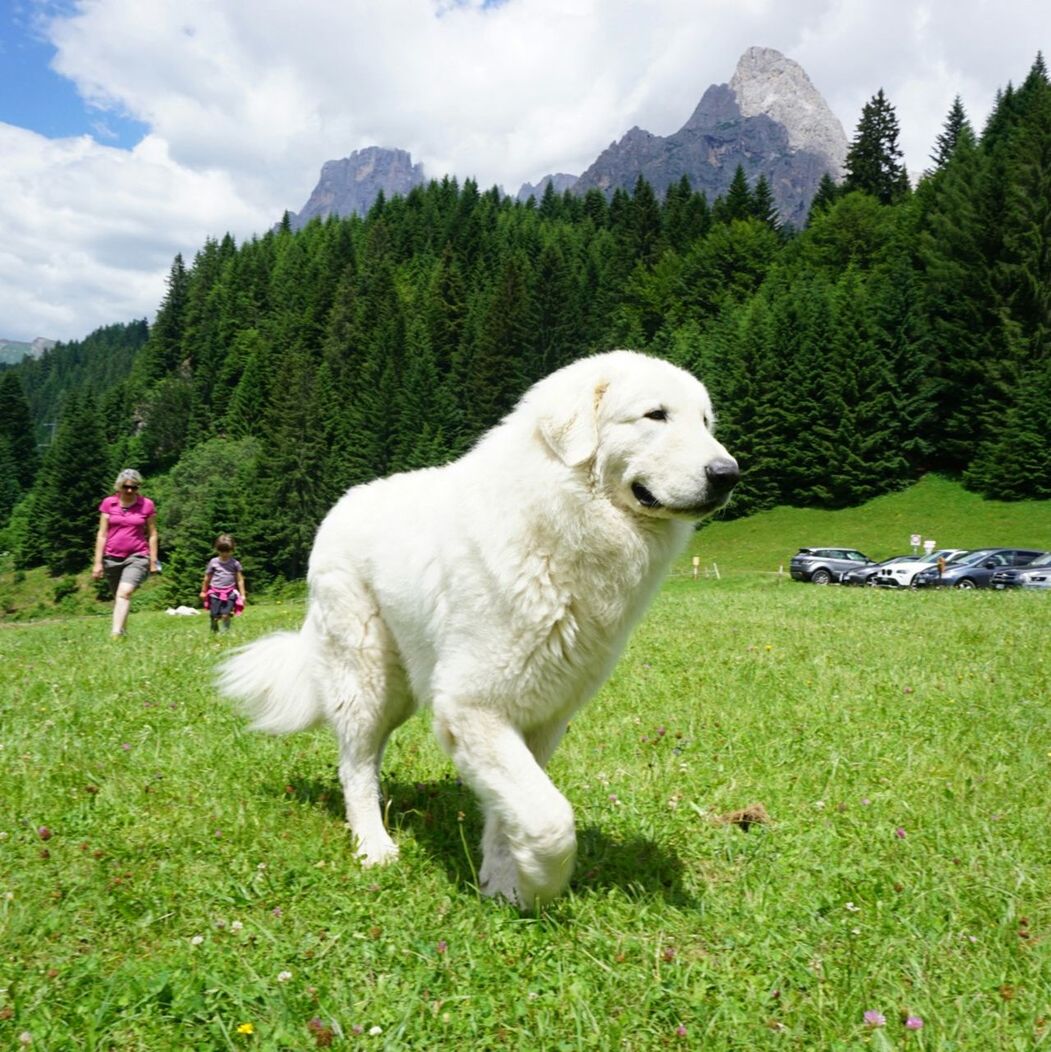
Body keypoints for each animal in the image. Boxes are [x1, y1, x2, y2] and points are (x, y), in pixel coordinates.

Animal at [217, 349, 736, 908]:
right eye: (655, 415)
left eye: (705, 422)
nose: (727, 473)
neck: (560, 520)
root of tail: (343, 503)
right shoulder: (472, 705)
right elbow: (551, 818)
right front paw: (540, 884)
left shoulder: (543, 715)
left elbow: (515, 807)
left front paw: (505, 882)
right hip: (365, 677)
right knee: (353, 766)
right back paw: (374, 846)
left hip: (401, 689)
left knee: (369, 758)